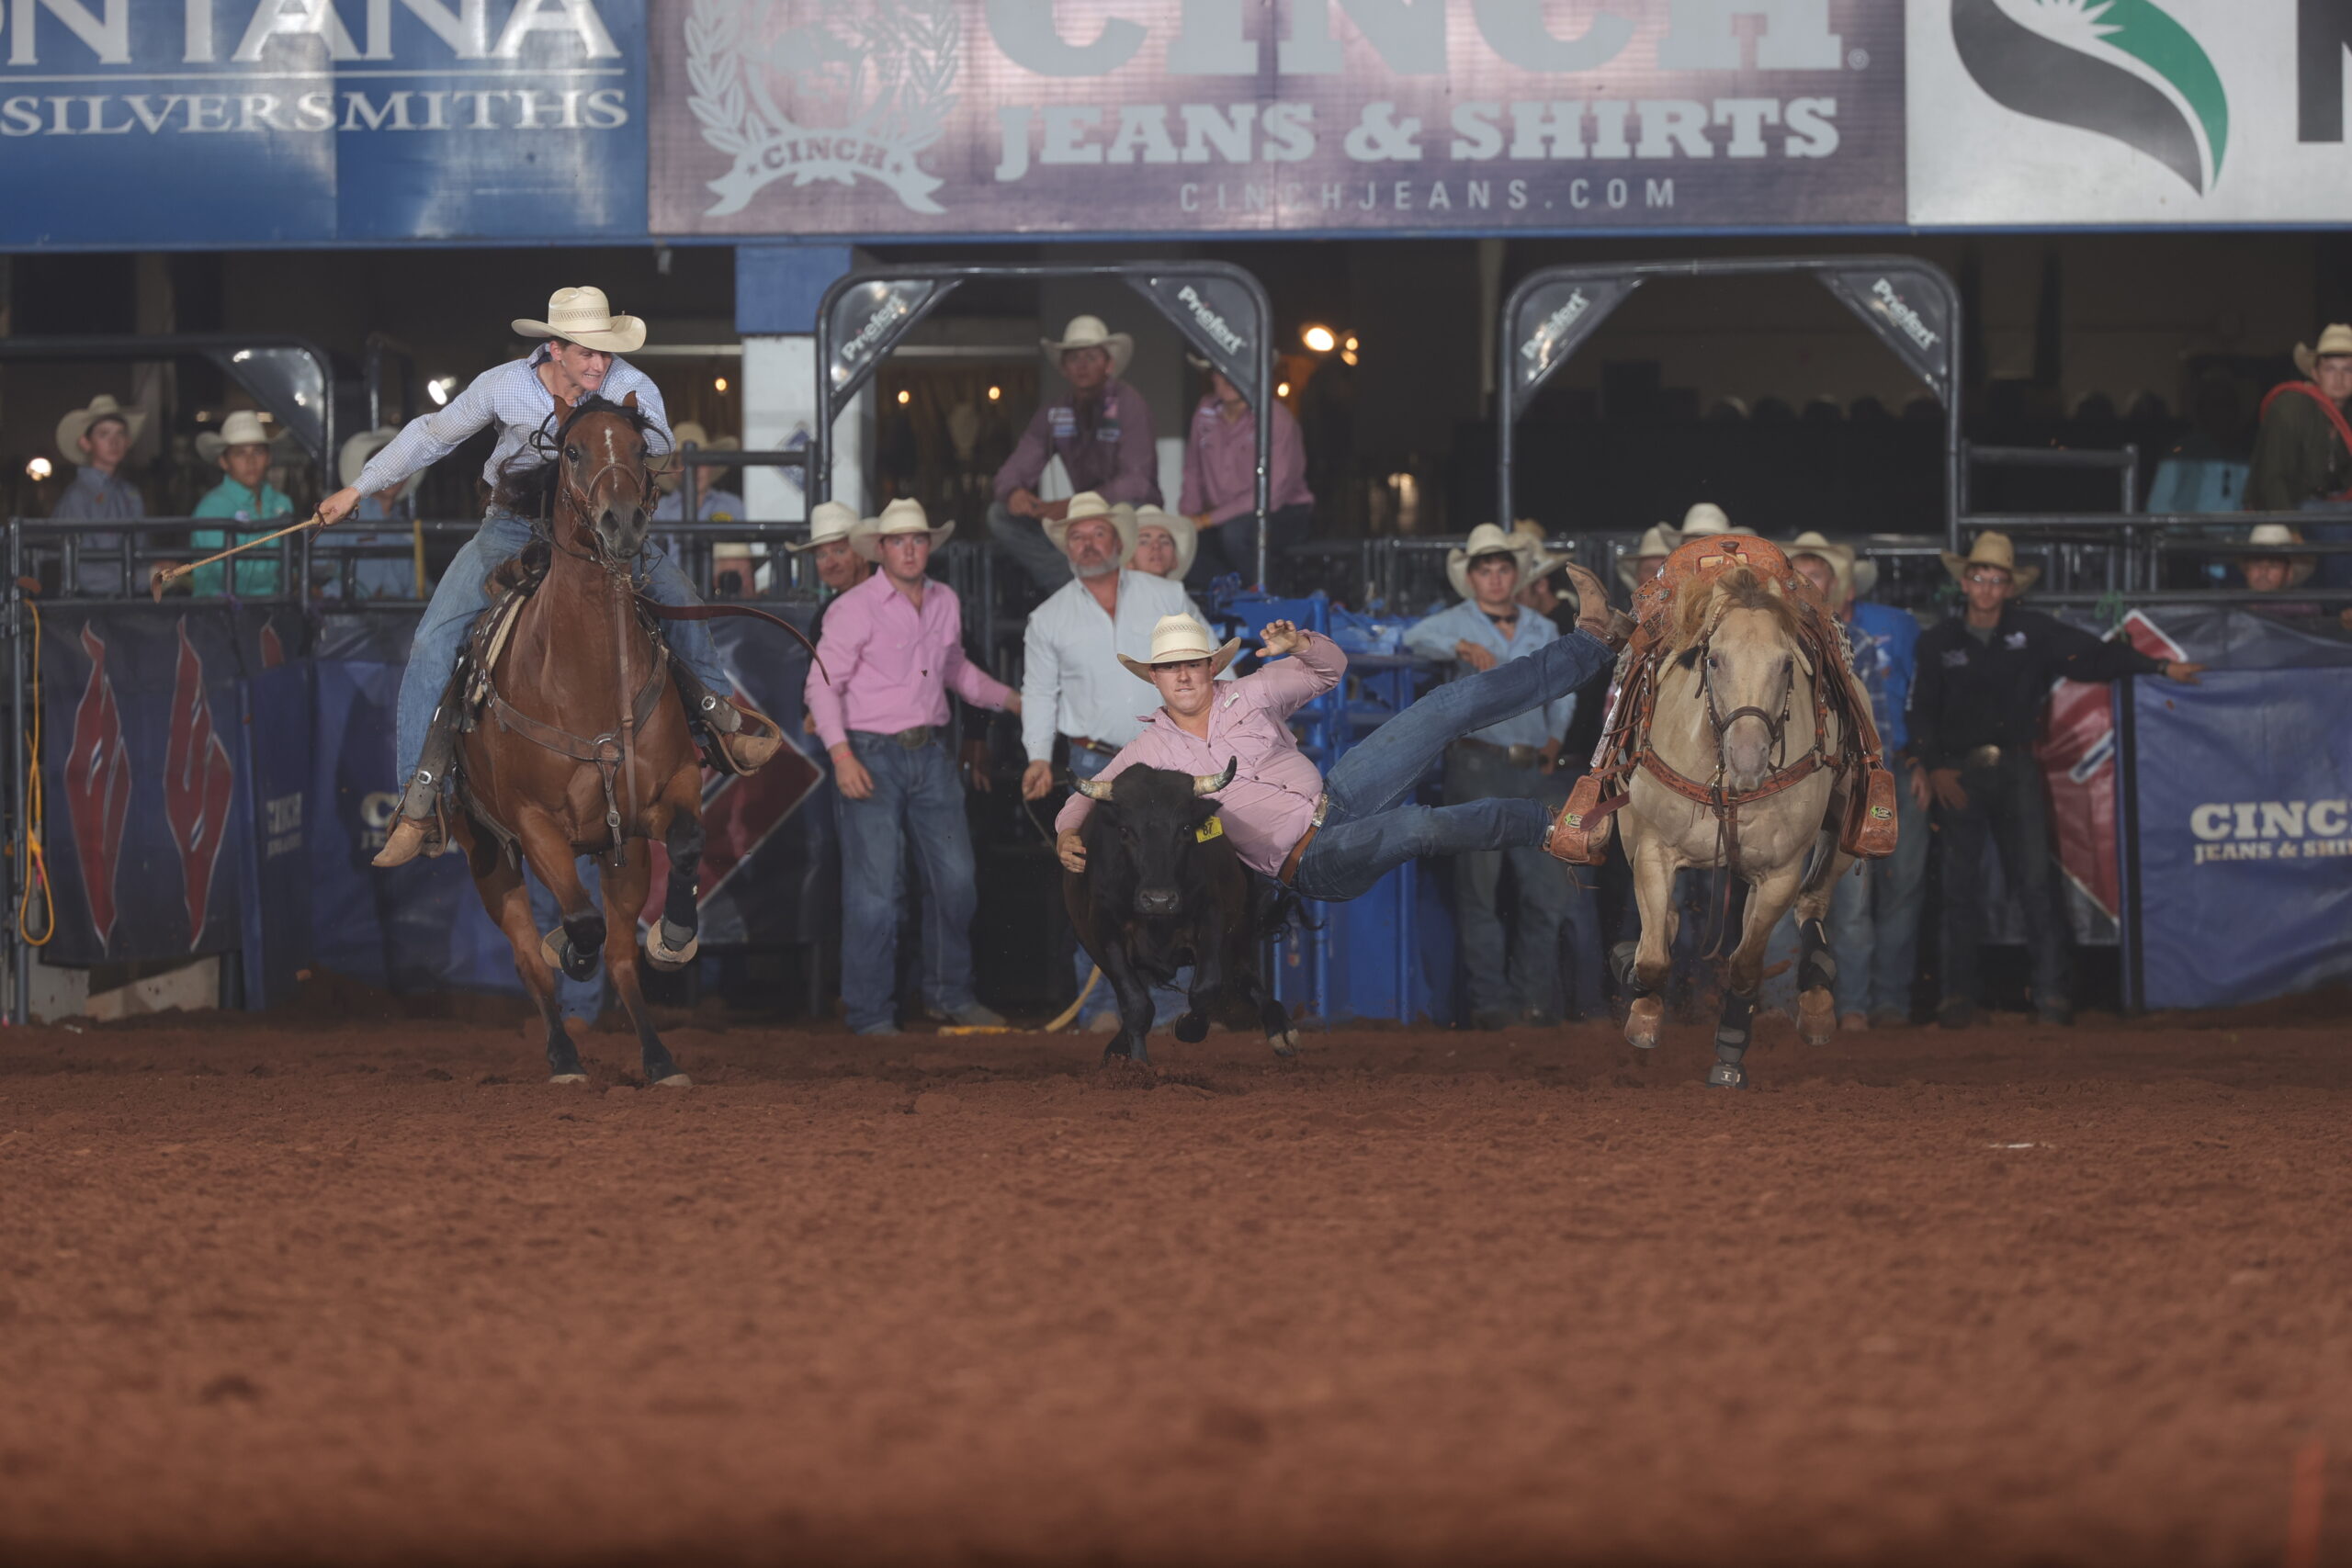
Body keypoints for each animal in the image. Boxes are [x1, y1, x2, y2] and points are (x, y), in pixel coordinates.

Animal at [448, 394, 700, 1081]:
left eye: (640, 447)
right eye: (572, 450)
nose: (622, 523)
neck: (587, 678)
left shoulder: (661, 797)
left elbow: (687, 845)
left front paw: (675, 935)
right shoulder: (532, 823)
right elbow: (579, 924)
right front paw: (570, 949)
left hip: (622, 850)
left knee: (618, 953)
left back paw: (659, 1056)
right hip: (485, 852)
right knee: (527, 954)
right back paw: (563, 1052)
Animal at [1609, 564, 1862, 1090]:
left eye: (1786, 664)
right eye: (1714, 659)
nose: (1749, 758)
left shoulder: (1780, 873)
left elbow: (1745, 963)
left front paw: (1729, 1050)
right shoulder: (1652, 851)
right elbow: (1653, 957)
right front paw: (1642, 1012)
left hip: (1841, 836)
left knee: (1813, 903)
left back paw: (1817, 1000)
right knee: (1665, 924)